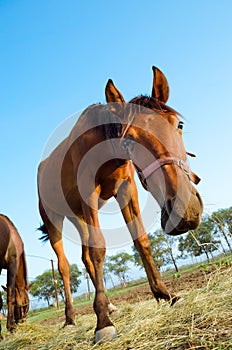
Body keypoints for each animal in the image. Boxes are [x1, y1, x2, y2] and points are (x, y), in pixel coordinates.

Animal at [37, 67, 202, 344]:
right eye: (130, 140)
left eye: (179, 125)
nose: (186, 210)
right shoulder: (88, 193)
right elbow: (99, 249)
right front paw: (103, 323)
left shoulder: (126, 188)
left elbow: (141, 240)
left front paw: (166, 295)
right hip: (53, 220)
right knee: (64, 267)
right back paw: (70, 319)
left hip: (78, 216)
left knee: (84, 257)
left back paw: (109, 305)